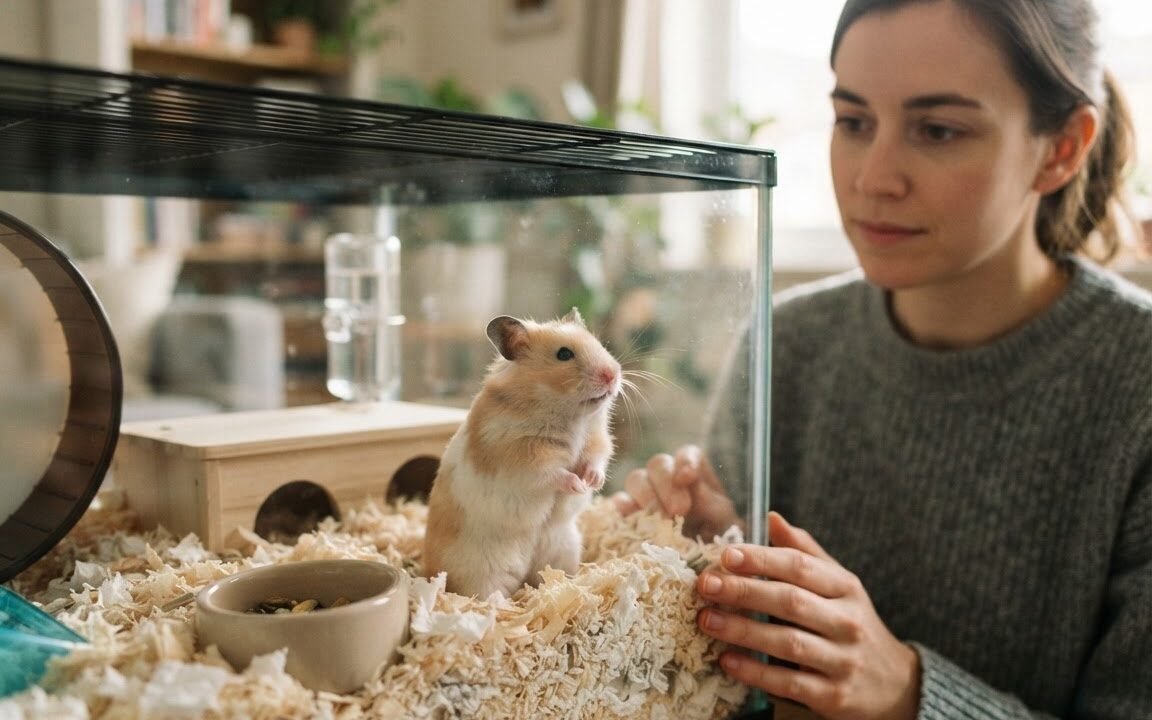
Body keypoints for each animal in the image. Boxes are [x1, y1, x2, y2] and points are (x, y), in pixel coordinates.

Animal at [423, 307, 622, 599]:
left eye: (599, 344)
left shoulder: (597, 439)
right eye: (564, 354)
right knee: (484, 593)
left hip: (565, 549)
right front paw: (577, 485)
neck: (570, 416)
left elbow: (596, 459)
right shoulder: (523, 457)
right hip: (482, 571)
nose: (612, 375)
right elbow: (553, 473)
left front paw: (592, 482)